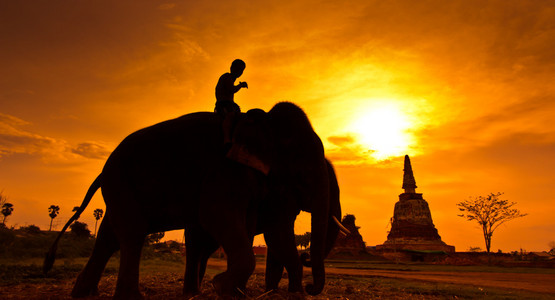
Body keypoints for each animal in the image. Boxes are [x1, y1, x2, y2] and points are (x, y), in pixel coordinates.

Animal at [44, 102, 348, 298]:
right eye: (302, 165)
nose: (311, 288)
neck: (260, 119)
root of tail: (102, 171)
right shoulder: (225, 169)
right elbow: (217, 214)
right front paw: (221, 287)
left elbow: (270, 231)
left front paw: (242, 292)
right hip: (120, 179)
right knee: (132, 233)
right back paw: (134, 297)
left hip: (120, 185)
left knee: (111, 235)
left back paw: (84, 294)